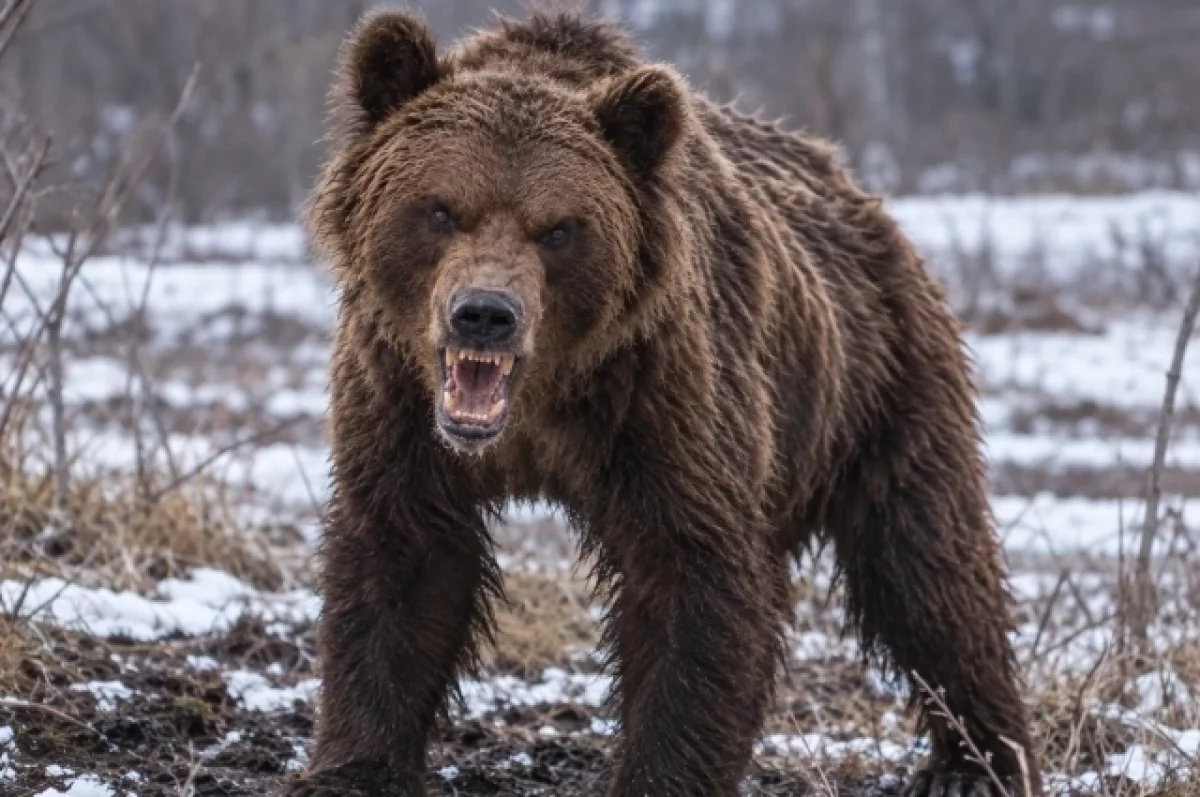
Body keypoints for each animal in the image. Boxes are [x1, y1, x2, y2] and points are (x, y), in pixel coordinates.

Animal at [290, 10, 1040, 797]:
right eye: (439, 209)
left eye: (559, 228)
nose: (485, 314)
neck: (540, 406)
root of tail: (860, 196)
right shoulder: (399, 405)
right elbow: (401, 561)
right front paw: (353, 767)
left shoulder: (663, 396)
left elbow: (693, 578)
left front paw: (662, 771)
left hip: (884, 385)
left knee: (925, 567)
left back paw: (977, 760)